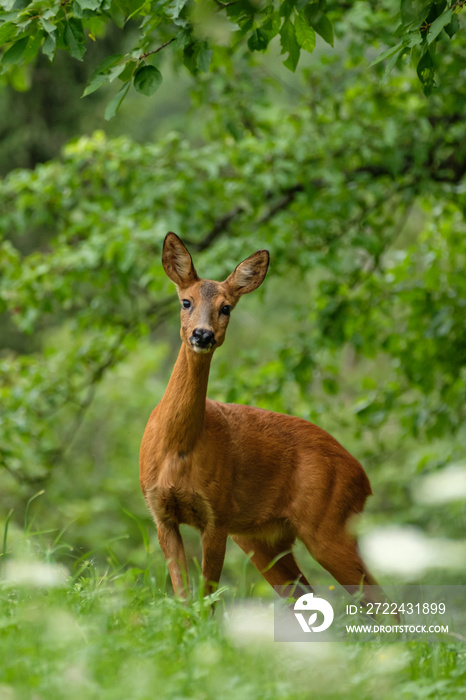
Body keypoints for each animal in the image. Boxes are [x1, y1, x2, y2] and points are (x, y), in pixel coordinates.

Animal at [140, 234, 380, 600]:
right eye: (185, 302)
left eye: (226, 307)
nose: (202, 335)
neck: (178, 448)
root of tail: (364, 481)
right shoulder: (161, 513)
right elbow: (183, 596)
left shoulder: (218, 514)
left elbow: (207, 598)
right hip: (263, 539)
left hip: (329, 525)